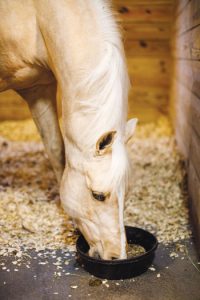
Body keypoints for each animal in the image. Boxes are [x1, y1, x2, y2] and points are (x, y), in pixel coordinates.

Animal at [0, 0, 138, 258]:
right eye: (98, 195)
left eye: (126, 191)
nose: (116, 256)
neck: (34, 13)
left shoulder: (37, 88)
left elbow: (57, 150)